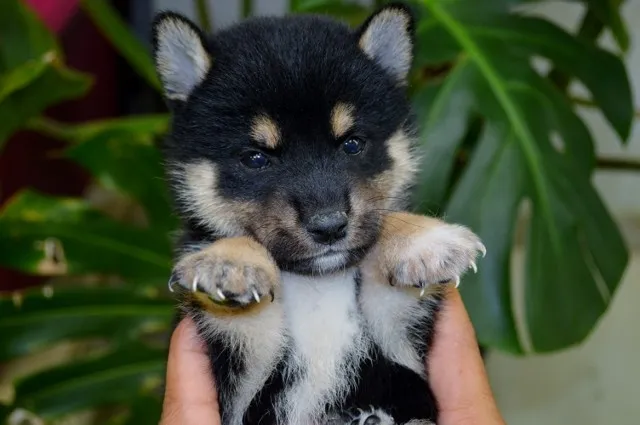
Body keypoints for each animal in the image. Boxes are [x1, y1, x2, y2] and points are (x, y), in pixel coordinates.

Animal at [154, 4, 484, 424]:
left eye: (352, 144)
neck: (317, 285)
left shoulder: (403, 352)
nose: (330, 227)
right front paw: (230, 263)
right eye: (255, 158)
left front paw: (421, 241)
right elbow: (252, 312)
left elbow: (384, 256)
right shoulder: (240, 376)